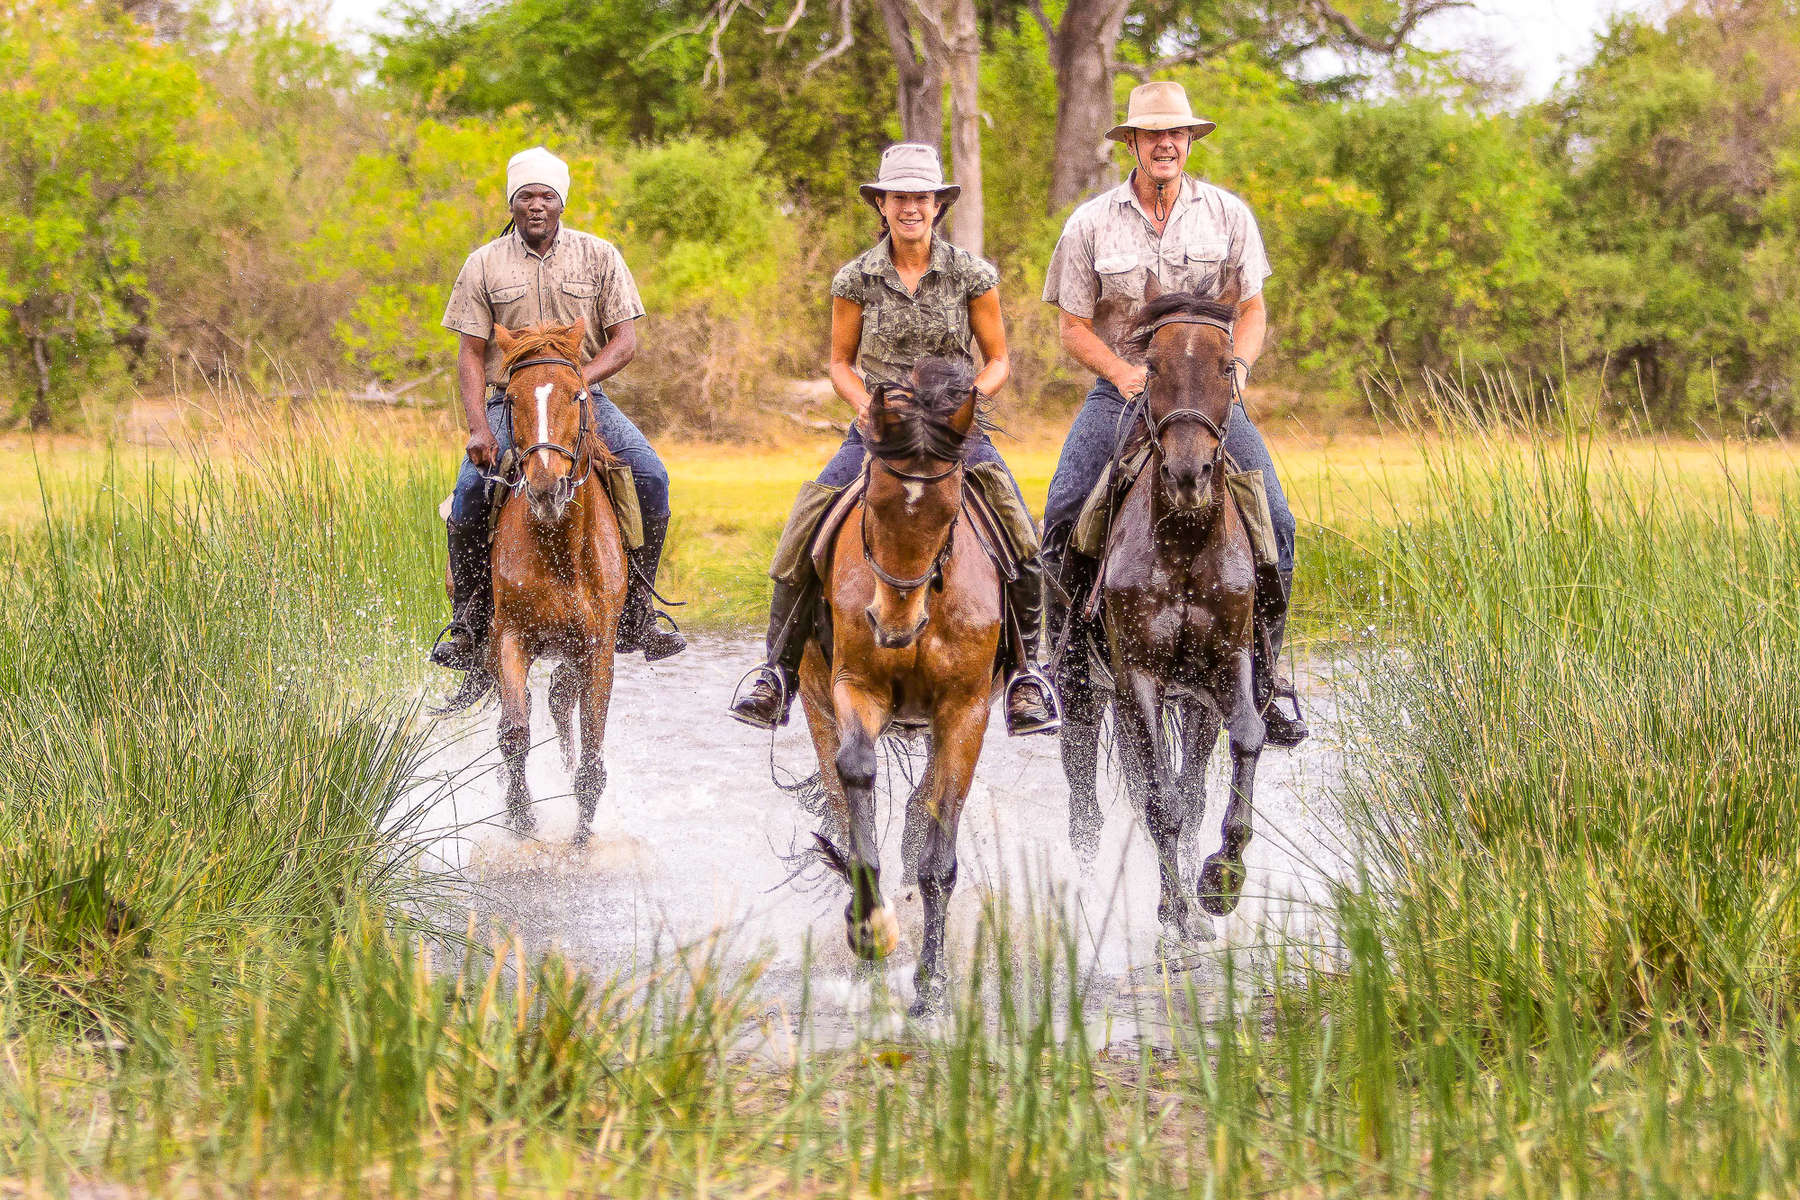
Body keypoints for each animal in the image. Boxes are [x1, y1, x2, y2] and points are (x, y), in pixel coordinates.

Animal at [486, 322, 633, 845]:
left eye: (575, 394)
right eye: (511, 397)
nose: (546, 488)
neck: (559, 548)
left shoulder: (598, 646)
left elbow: (592, 751)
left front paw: (580, 838)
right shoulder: (511, 636)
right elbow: (513, 732)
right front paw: (521, 818)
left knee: (561, 701)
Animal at [799, 356, 1000, 1014]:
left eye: (948, 510)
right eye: (874, 502)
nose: (893, 627)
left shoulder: (965, 712)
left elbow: (940, 853)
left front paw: (931, 986)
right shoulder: (854, 688)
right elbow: (857, 778)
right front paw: (871, 929)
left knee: (923, 808)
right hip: (814, 699)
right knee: (841, 801)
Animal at [1080, 284, 1267, 949]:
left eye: (1225, 365)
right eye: (1154, 367)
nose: (1189, 474)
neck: (1184, 540)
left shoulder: (1228, 663)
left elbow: (1246, 739)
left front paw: (1221, 880)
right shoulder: (1138, 679)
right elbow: (1160, 801)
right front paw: (1179, 914)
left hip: (1193, 700)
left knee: (1189, 787)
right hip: (1099, 693)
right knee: (1120, 797)